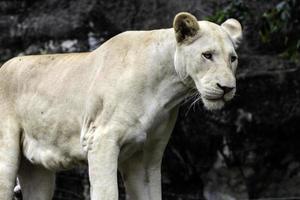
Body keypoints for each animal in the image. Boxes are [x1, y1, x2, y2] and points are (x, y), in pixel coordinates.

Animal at [0, 11, 241, 199]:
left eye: (233, 58)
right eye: (207, 55)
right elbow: (107, 192)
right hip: (6, 155)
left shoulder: (147, 156)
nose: (227, 88)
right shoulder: (100, 140)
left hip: (38, 171)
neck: (165, 90)